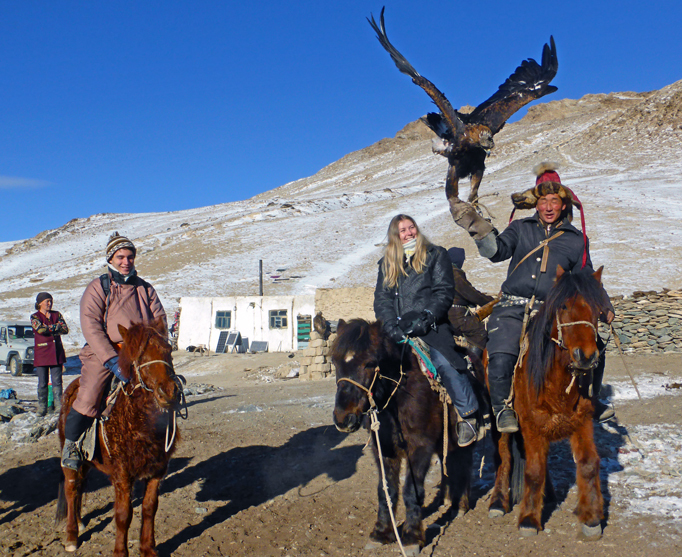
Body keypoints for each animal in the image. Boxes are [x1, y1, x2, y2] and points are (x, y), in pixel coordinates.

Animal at [55, 318, 183, 556]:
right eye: (139, 356)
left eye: (168, 350)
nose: (169, 392)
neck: (139, 423)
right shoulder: (122, 476)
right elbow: (123, 515)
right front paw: (120, 552)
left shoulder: (157, 472)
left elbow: (149, 508)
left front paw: (148, 549)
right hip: (70, 458)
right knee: (71, 488)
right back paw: (71, 536)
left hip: (87, 462)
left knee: (80, 487)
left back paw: (79, 522)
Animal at [330, 320, 472, 552]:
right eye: (335, 362)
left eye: (370, 363)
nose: (343, 418)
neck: (399, 394)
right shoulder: (384, 448)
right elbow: (386, 490)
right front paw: (381, 532)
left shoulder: (419, 447)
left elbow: (411, 492)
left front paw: (412, 537)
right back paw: (446, 499)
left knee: (465, 464)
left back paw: (460, 505)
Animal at [486, 268, 608, 536]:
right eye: (563, 306)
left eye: (598, 308)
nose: (586, 356)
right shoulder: (531, 425)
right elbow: (533, 470)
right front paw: (529, 519)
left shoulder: (582, 421)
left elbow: (588, 464)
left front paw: (591, 518)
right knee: (504, 455)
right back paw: (498, 502)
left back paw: (549, 494)